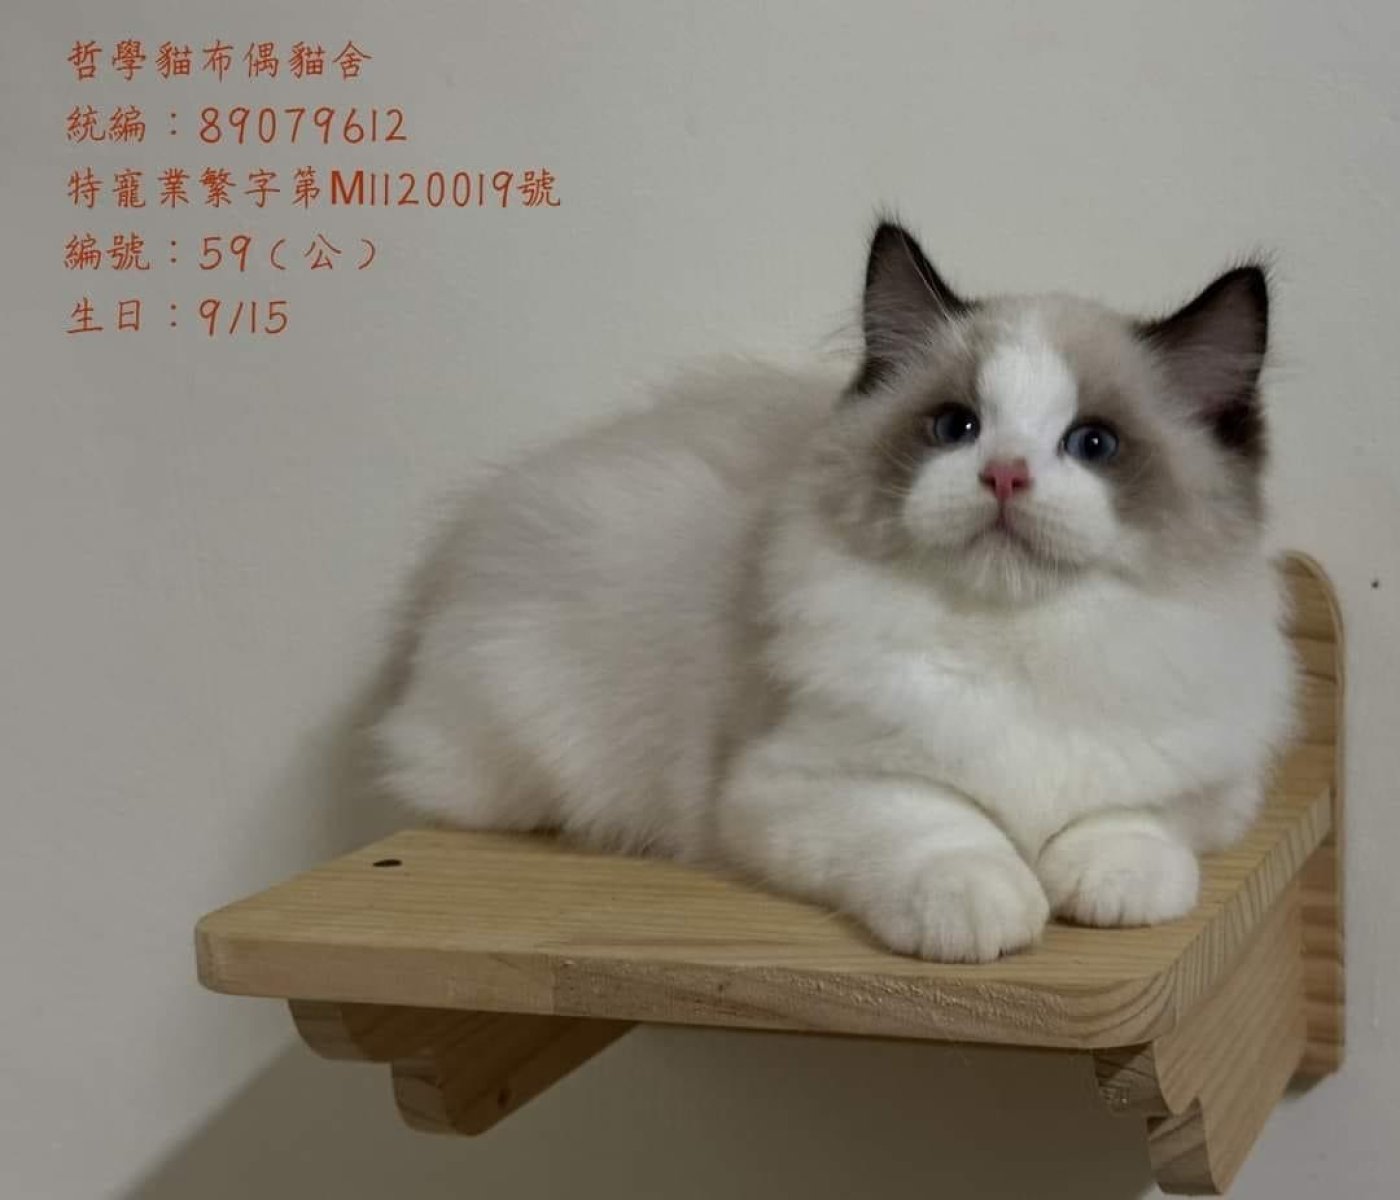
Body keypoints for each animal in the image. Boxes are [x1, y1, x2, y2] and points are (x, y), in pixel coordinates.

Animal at [374, 221, 1296, 962]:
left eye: (1093, 444)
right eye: (955, 428)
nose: (1004, 474)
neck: (1015, 642)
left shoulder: (1203, 786)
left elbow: (1129, 822)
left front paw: (1110, 887)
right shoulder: (803, 786)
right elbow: (941, 827)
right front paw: (985, 909)